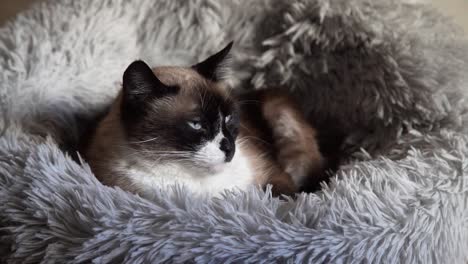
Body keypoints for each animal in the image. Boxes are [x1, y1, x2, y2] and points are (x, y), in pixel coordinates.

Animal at [83, 42, 326, 197]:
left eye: (228, 118)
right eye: (196, 124)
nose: (229, 148)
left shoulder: (272, 176)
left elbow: (285, 196)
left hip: (279, 111)